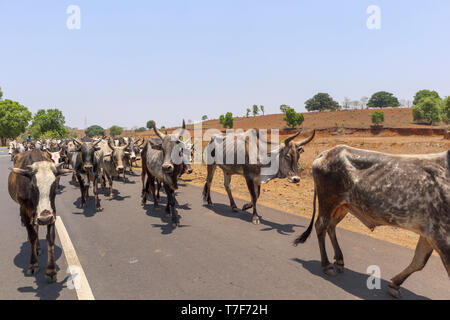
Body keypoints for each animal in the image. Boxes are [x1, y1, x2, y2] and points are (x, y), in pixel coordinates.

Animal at [7, 149, 72, 282]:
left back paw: (37, 248)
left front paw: (51, 271)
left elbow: (50, 238)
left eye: (54, 185)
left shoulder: (53, 212)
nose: (44, 218)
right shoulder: (25, 211)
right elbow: (32, 236)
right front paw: (33, 264)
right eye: (32, 186)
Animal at [294, 146, 448, 298]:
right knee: (321, 226)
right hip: (328, 201)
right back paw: (327, 265)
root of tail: (327, 152)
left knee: (331, 226)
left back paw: (339, 260)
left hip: (343, 206)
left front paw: (394, 285)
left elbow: (419, 261)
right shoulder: (442, 237)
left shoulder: (429, 234)